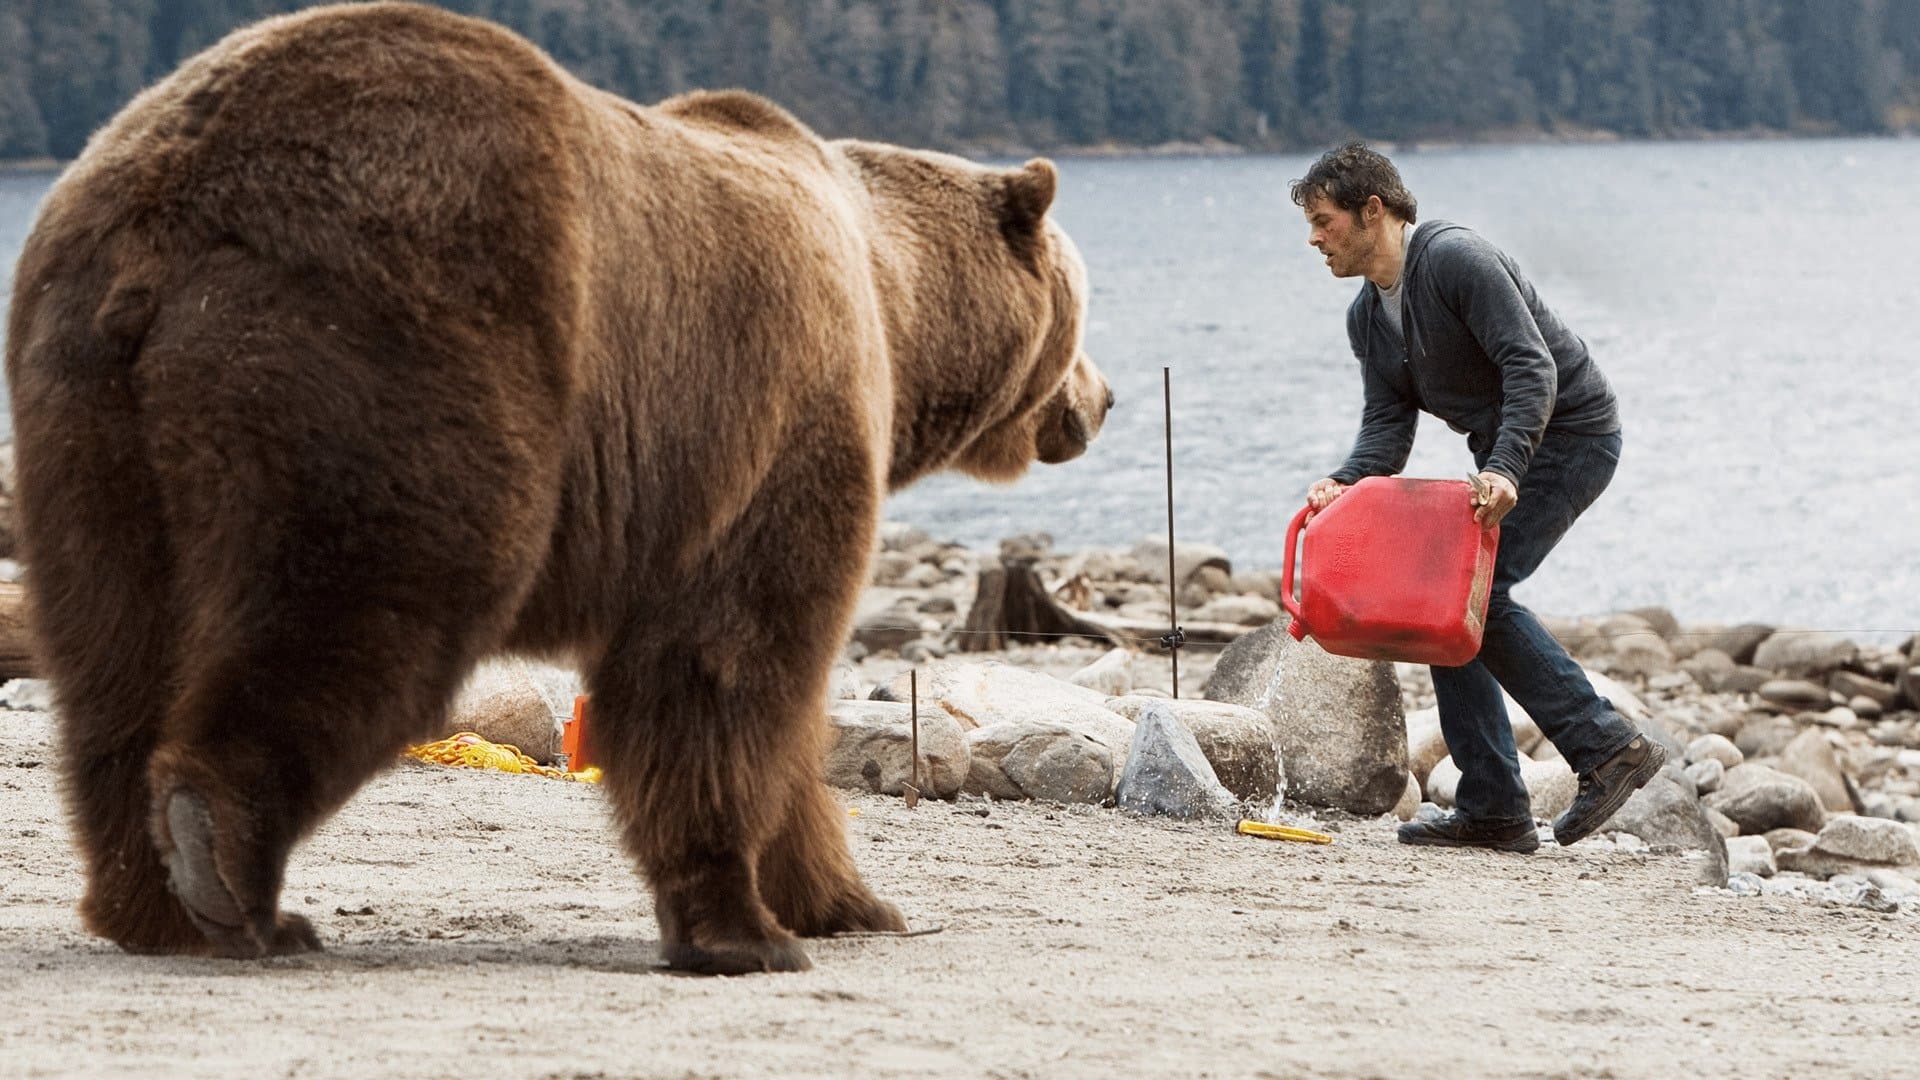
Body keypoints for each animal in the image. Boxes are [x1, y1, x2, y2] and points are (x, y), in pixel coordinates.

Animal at [4, 2, 1110, 975]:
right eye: (1083, 308)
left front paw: (846, 899)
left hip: (86, 413)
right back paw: (229, 866)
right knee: (361, 606)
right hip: (396, 353)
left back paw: (154, 905)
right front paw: (745, 930)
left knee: (118, 651)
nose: (1101, 402)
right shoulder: (770, 436)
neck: (896, 306)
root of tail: (171, 207)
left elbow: (780, 717)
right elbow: (729, 666)